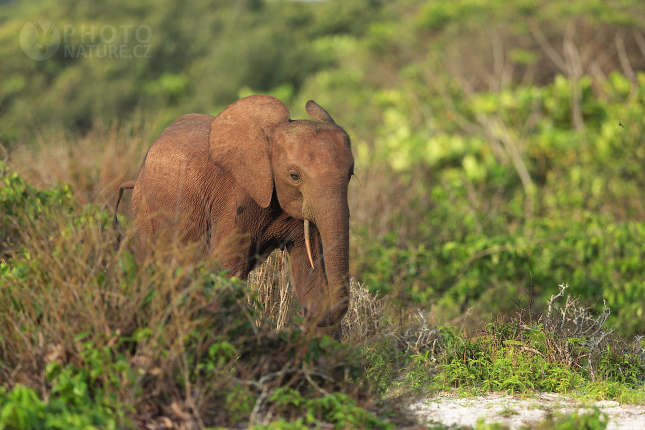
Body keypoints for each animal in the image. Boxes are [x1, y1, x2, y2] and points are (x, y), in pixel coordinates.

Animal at [114, 94, 354, 340]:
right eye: (294, 176)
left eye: (350, 174)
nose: (303, 315)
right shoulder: (235, 197)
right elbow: (228, 267)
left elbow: (311, 275)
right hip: (144, 209)